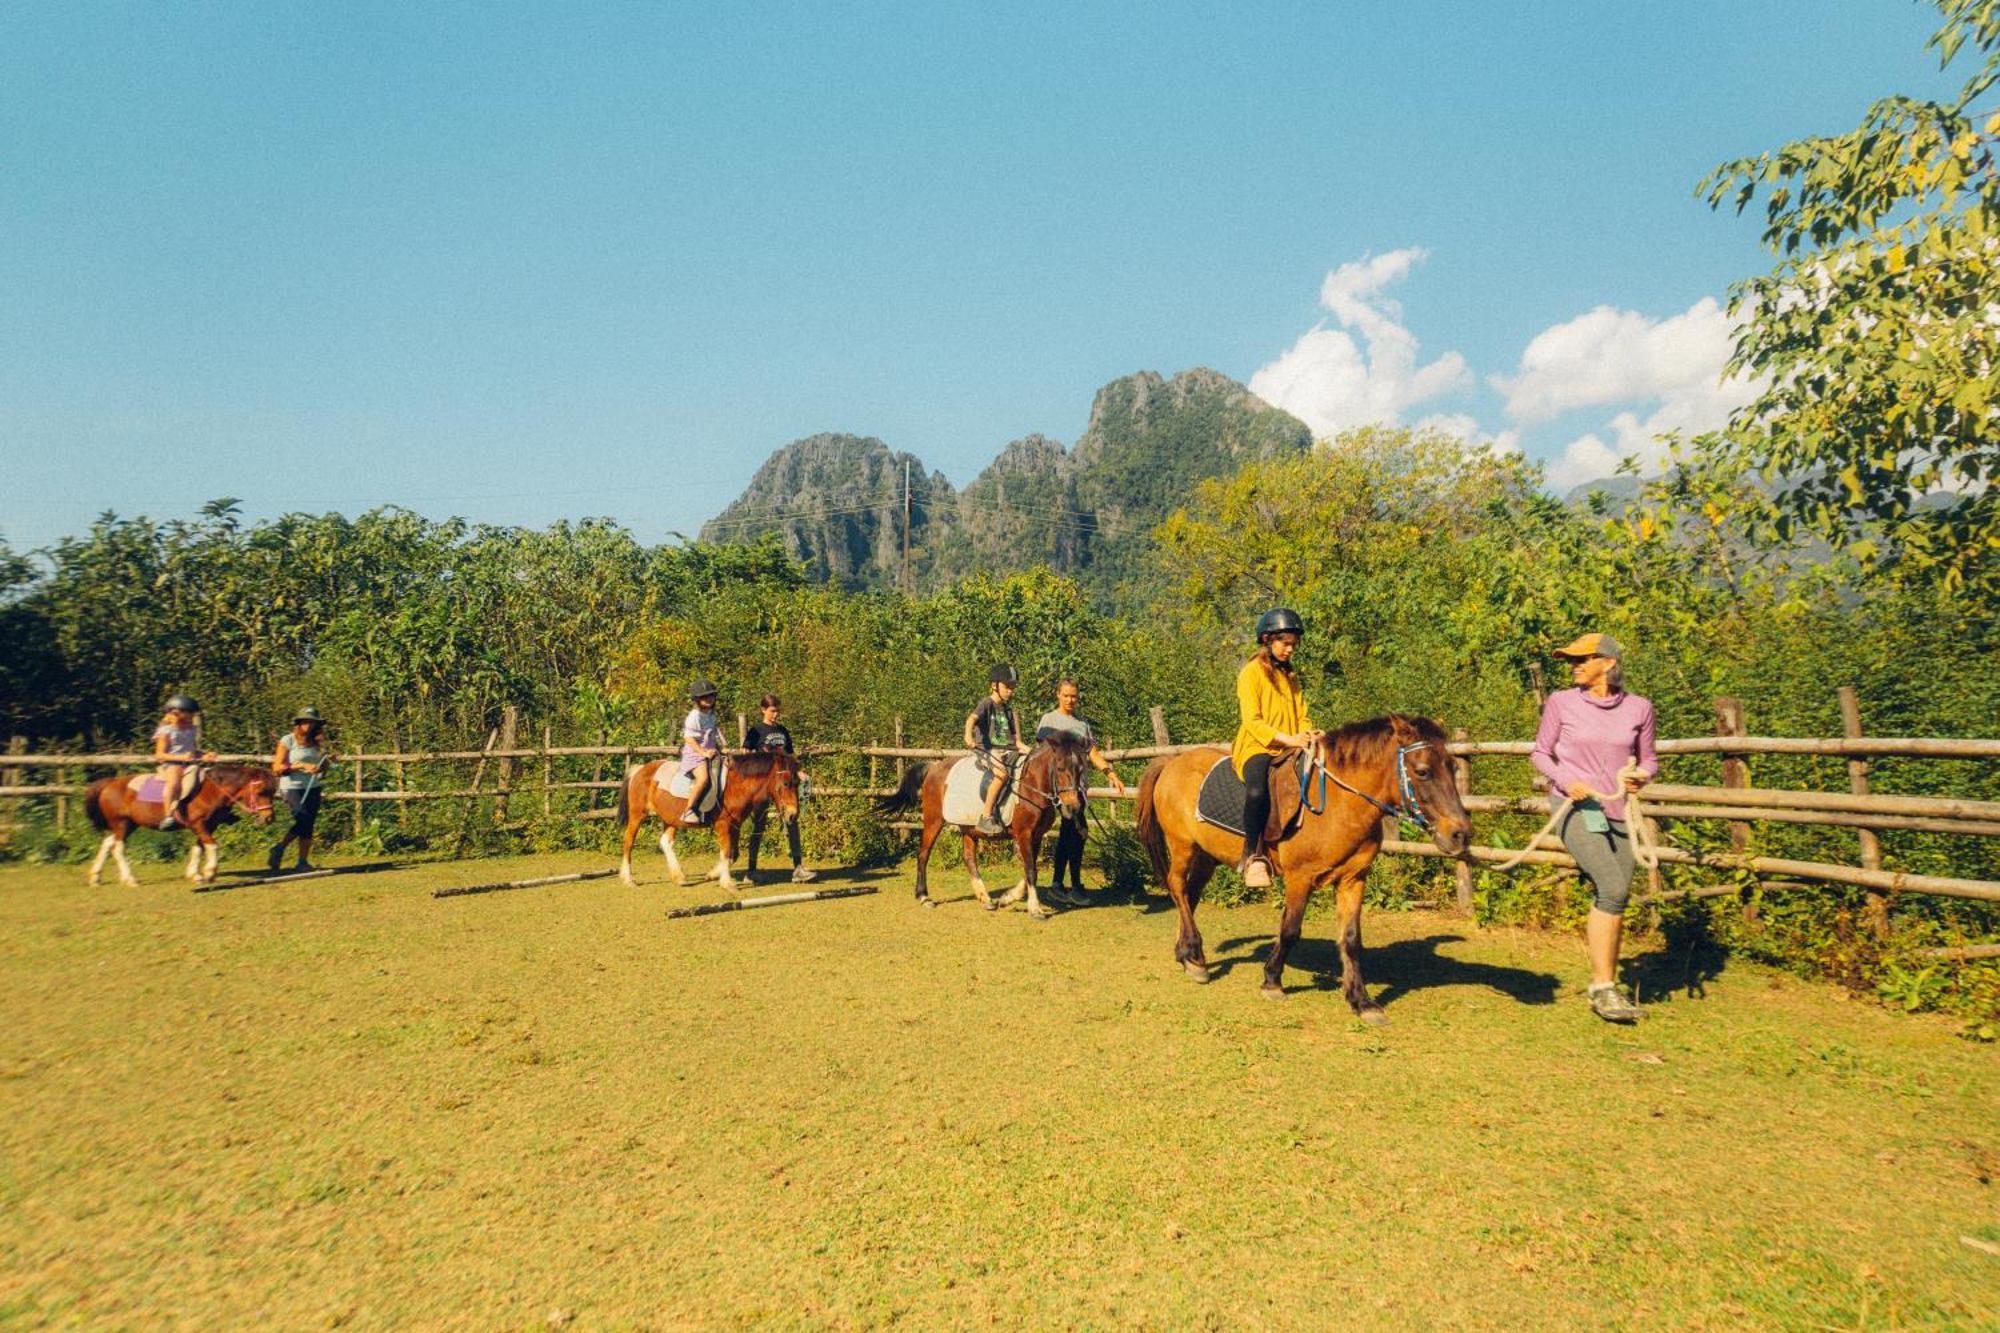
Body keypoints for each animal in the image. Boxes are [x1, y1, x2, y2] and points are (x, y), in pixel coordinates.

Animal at [82, 756, 280, 880]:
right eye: (261, 792)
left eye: (272, 792)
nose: (269, 818)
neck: (211, 791)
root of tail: (109, 783)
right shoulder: (199, 824)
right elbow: (211, 846)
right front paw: (210, 872)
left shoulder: (208, 825)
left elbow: (199, 847)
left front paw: (195, 874)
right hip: (121, 823)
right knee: (118, 848)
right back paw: (129, 878)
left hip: (129, 824)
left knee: (108, 842)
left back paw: (95, 876)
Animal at [612, 752, 800, 888]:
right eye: (786, 783)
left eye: (797, 782)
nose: (793, 814)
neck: (736, 785)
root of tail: (641, 769)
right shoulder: (723, 825)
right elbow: (726, 850)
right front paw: (726, 882)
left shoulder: (735, 825)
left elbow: (733, 853)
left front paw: (713, 874)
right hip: (638, 815)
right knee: (629, 841)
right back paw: (628, 878)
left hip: (671, 819)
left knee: (666, 842)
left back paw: (678, 877)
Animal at [880, 732, 1096, 920]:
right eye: (1060, 768)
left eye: (1081, 769)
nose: (1073, 806)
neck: (1031, 784)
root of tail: (934, 767)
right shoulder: (1024, 834)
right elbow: (1031, 871)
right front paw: (1035, 909)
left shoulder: (1036, 836)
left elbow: (1030, 869)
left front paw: (1007, 898)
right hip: (934, 821)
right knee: (923, 854)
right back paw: (924, 896)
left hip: (968, 828)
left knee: (969, 858)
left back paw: (985, 898)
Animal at [1144, 716, 1472, 1016]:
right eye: (1422, 771)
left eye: (1453, 768)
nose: (1461, 834)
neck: (1339, 805)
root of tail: (1172, 762)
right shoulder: (1300, 878)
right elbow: (1290, 930)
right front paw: (1272, 981)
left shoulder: (1354, 879)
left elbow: (1351, 939)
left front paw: (1361, 1000)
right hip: (1182, 845)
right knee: (1177, 887)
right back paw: (1194, 955)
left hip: (1206, 855)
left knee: (1190, 895)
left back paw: (1189, 956)